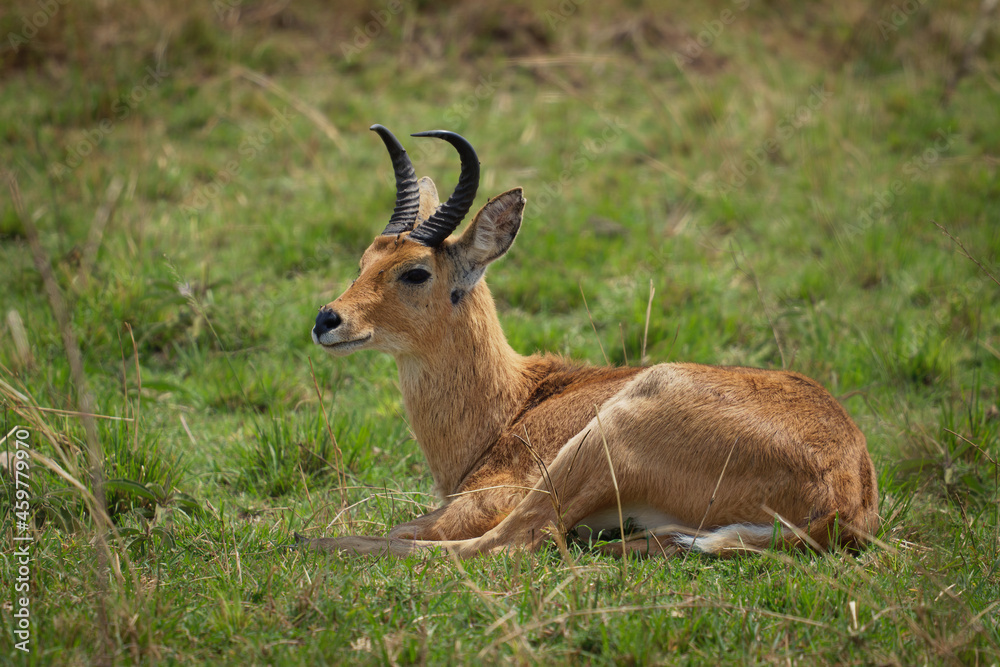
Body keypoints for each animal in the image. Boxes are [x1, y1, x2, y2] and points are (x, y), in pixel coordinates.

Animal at [304, 124, 879, 558]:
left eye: (416, 271)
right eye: (364, 259)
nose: (327, 319)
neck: (515, 403)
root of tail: (845, 498)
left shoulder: (492, 495)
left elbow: (417, 526)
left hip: (594, 449)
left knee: (506, 543)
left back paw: (310, 543)